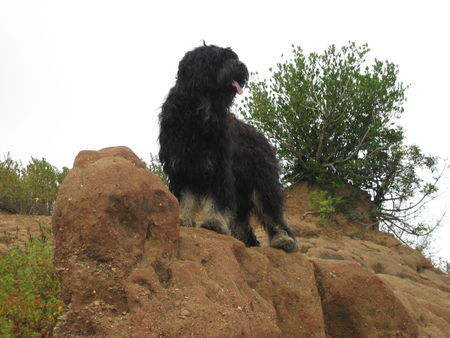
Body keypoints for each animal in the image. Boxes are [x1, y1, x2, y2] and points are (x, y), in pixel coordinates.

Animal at [159, 44, 298, 251]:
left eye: (233, 57)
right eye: (218, 59)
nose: (241, 66)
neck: (199, 112)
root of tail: (261, 137)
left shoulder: (218, 168)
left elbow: (218, 200)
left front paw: (214, 223)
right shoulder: (181, 166)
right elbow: (184, 197)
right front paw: (183, 218)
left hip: (262, 182)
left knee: (272, 212)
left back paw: (283, 239)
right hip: (241, 188)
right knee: (242, 220)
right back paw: (244, 240)